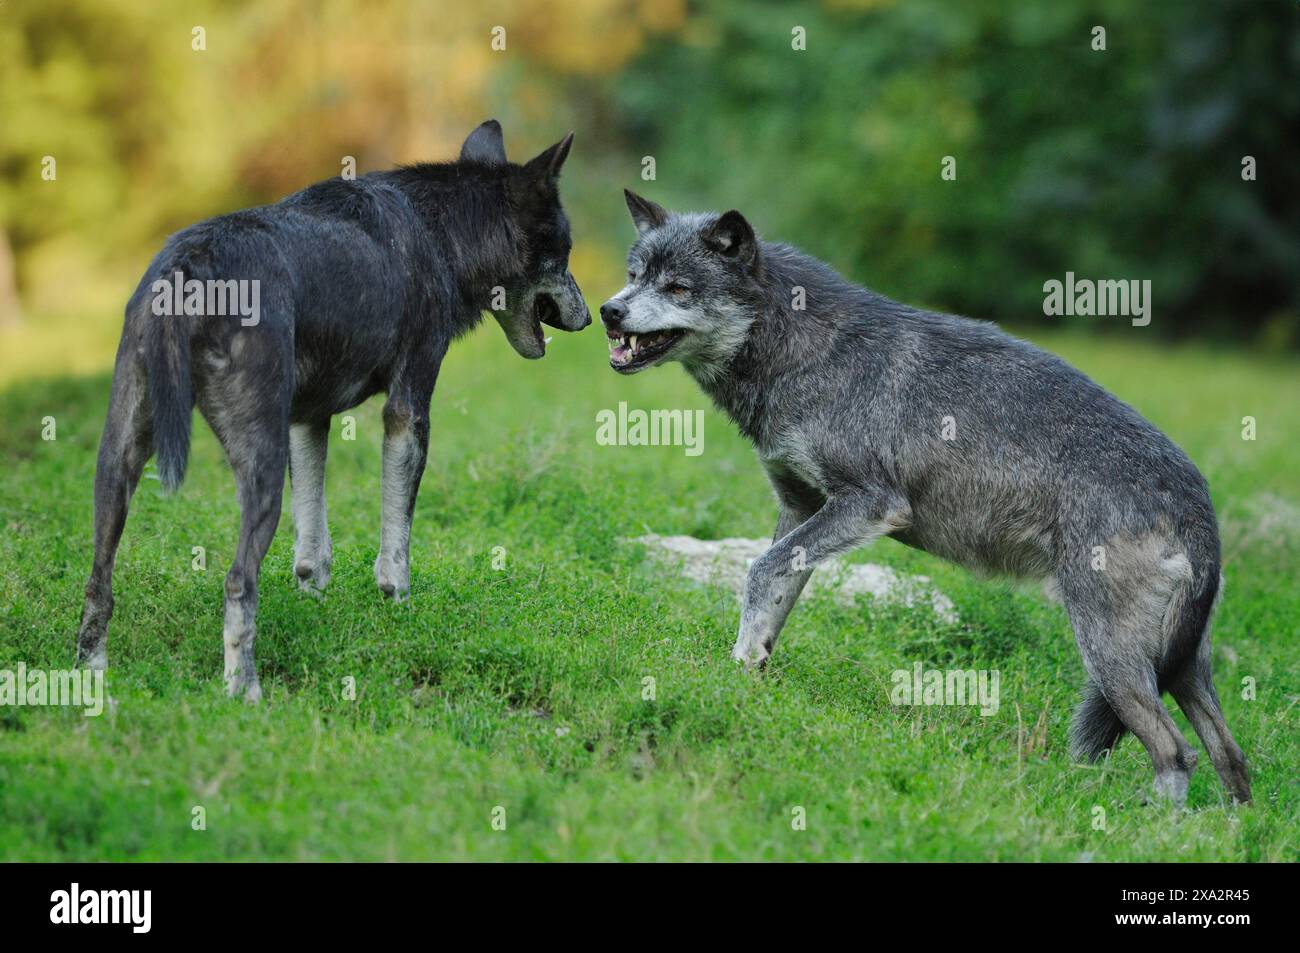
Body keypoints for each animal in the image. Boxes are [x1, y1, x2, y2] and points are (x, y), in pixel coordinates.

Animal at [77, 118, 590, 696]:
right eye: (565, 253)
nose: (593, 316)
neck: (443, 234)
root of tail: (190, 266)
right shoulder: (407, 414)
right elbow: (397, 544)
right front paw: (398, 604)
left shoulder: (307, 422)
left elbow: (311, 550)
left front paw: (315, 606)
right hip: (260, 471)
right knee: (237, 581)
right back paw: (243, 691)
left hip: (117, 467)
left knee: (98, 583)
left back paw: (91, 676)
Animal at [598, 191, 1248, 800]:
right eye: (635, 274)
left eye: (678, 287)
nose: (608, 310)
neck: (804, 348)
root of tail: (1198, 502)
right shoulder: (801, 509)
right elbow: (773, 588)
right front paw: (747, 674)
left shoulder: (869, 504)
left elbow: (758, 571)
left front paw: (736, 672)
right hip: (1180, 670)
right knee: (1231, 757)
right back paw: (1227, 829)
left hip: (1111, 658)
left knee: (1176, 753)